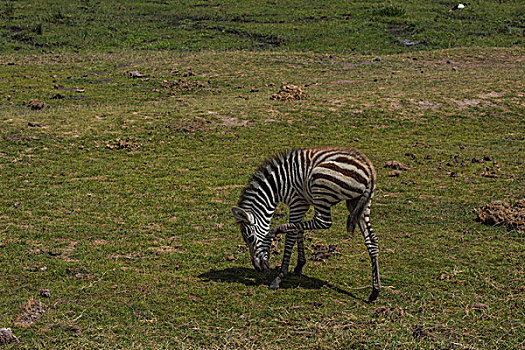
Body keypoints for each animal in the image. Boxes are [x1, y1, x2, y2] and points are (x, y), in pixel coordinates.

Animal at [233, 146, 380, 302]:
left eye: (249, 238)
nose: (257, 268)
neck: (278, 184)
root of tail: (368, 168)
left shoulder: (297, 202)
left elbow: (291, 235)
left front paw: (280, 277)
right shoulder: (303, 203)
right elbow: (299, 230)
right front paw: (299, 265)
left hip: (321, 187)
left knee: (323, 221)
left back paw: (275, 230)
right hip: (358, 204)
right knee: (372, 240)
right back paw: (375, 291)